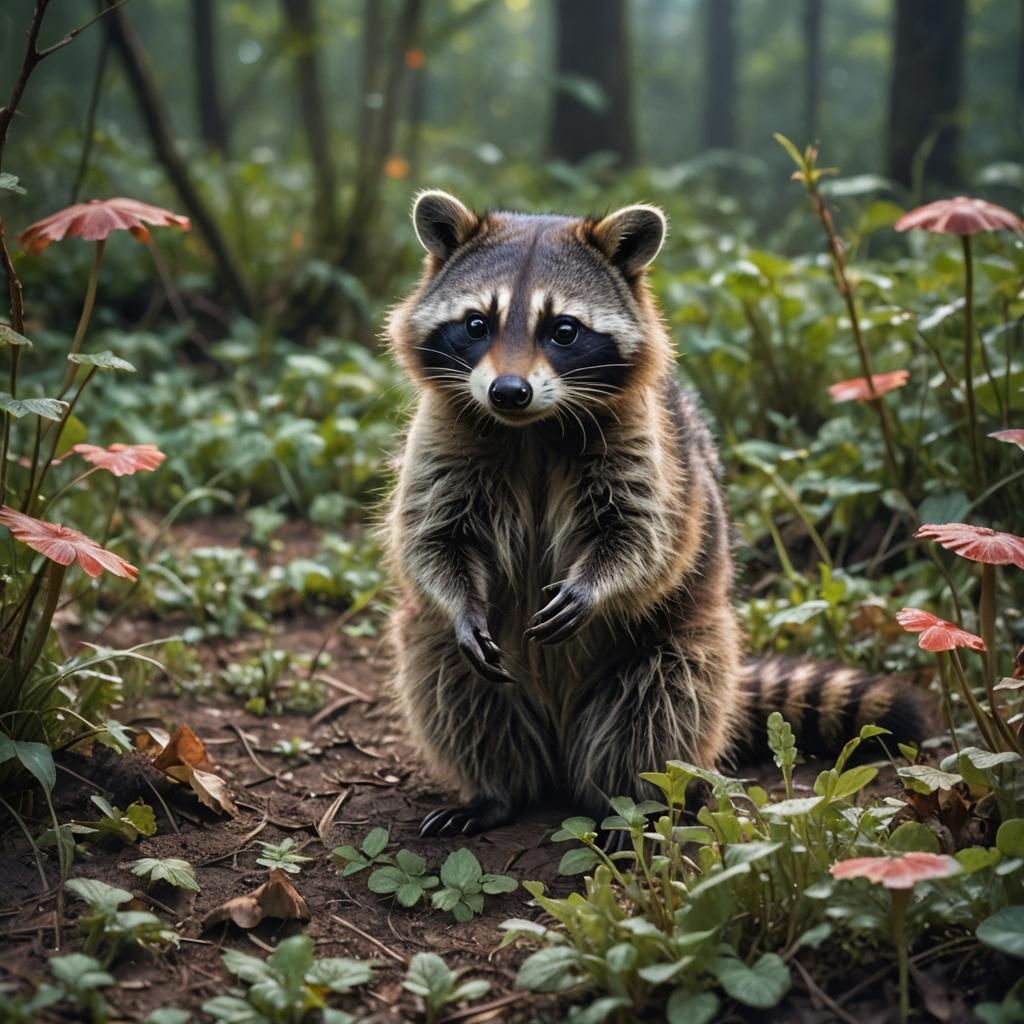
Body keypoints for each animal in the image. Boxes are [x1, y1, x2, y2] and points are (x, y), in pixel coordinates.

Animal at [384, 190, 929, 838]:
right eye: (476, 324)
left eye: (562, 331)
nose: (508, 391)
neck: (531, 429)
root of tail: (558, 746)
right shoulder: (444, 436)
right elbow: (433, 537)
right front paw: (462, 603)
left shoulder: (652, 446)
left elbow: (648, 536)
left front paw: (596, 584)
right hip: (458, 653)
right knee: (448, 675)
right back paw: (497, 790)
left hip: (680, 639)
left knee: (662, 705)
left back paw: (629, 804)